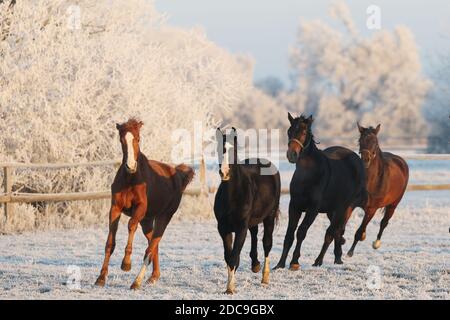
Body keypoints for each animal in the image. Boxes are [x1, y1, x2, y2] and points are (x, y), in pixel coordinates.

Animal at [94, 119, 194, 288]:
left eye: (138, 139)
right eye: (121, 140)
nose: (130, 166)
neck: (131, 179)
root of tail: (177, 175)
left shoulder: (139, 209)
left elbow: (131, 225)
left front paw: (126, 264)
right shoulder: (115, 208)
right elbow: (110, 243)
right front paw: (101, 278)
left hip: (164, 217)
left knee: (152, 245)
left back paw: (136, 282)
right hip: (147, 221)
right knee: (153, 244)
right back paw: (153, 276)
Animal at [214, 127, 282, 296]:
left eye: (234, 151)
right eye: (219, 149)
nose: (224, 172)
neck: (232, 195)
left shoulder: (240, 228)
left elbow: (233, 257)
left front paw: (230, 288)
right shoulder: (223, 228)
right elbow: (228, 257)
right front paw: (229, 285)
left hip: (269, 217)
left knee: (267, 243)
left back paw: (264, 277)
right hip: (253, 221)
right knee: (255, 235)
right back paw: (255, 264)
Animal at [272, 114, 368, 268]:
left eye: (304, 132)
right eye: (289, 131)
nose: (292, 154)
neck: (308, 174)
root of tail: (357, 160)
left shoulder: (313, 209)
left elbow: (301, 232)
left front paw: (294, 262)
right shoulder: (294, 206)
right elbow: (289, 234)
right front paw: (280, 264)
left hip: (343, 207)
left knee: (331, 232)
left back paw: (319, 260)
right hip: (331, 210)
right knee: (337, 231)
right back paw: (337, 257)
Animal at [346, 124, 410, 256]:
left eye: (375, 141)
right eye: (360, 141)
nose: (365, 159)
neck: (371, 181)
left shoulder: (372, 209)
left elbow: (359, 232)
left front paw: (350, 252)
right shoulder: (351, 204)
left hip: (393, 205)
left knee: (384, 222)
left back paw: (376, 243)